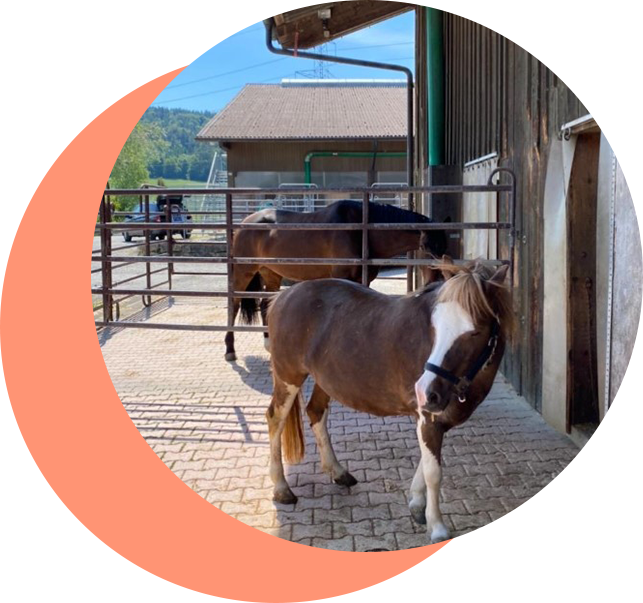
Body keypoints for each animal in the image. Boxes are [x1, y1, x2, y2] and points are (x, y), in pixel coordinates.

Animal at [224, 199, 449, 361]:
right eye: (427, 247)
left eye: (445, 246)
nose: (437, 281)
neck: (359, 230)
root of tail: (244, 223)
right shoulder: (342, 277)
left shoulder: (362, 279)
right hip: (243, 272)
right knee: (234, 304)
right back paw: (230, 350)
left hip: (270, 273)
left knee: (265, 304)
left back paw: (269, 343)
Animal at [264, 260, 513, 544]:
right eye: (435, 327)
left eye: (475, 332)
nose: (425, 391)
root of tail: (283, 296)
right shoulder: (428, 417)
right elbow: (434, 473)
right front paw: (438, 529)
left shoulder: (435, 419)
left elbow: (425, 463)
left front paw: (417, 505)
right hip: (289, 377)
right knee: (275, 420)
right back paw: (281, 488)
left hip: (324, 381)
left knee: (316, 412)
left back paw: (338, 472)